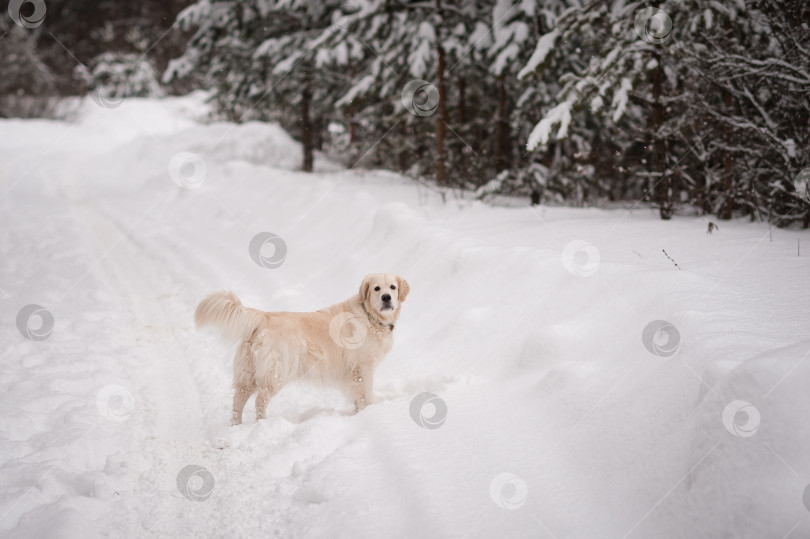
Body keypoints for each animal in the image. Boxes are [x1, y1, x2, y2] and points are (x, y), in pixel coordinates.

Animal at [193, 276, 408, 424]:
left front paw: (357, 413)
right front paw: (369, 412)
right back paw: (262, 425)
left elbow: (357, 397)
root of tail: (264, 317)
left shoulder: (352, 374)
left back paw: (236, 425)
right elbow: (366, 395)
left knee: (238, 399)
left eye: (393, 287)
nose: (386, 297)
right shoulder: (363, 368)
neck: (370, 317)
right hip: (277, 373)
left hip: (249, 372)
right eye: (377, 288)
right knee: (260, 400)